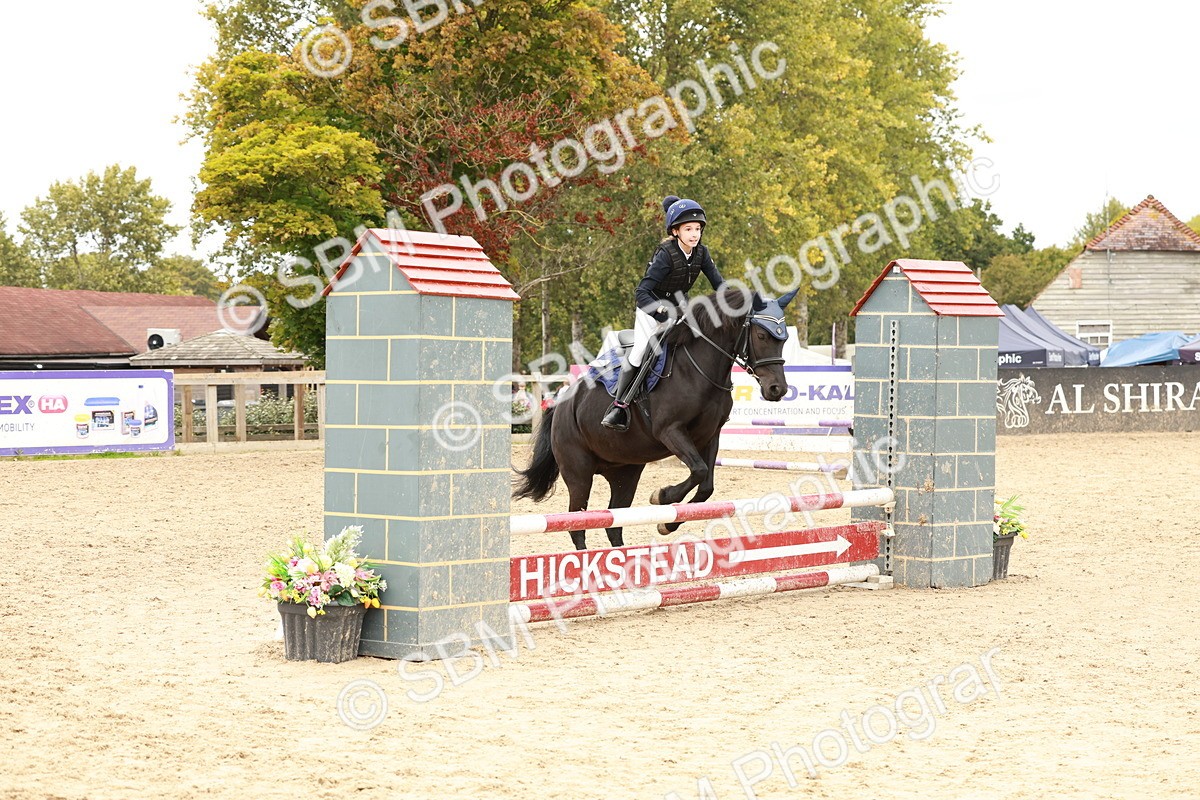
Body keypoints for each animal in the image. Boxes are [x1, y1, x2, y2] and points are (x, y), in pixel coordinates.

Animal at [513, 284, 797, 550]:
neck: (700, 369)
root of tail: (561, 402)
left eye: (783, 339)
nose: (777, 389)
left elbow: (706, 486)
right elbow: (698, 470)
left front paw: (667, 523)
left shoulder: (710, 435)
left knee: (614, 524)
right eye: (761, 335)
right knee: (577, 524)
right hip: (579, 472)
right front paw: (662, 496)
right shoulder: (670, 431)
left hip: (624, 474)